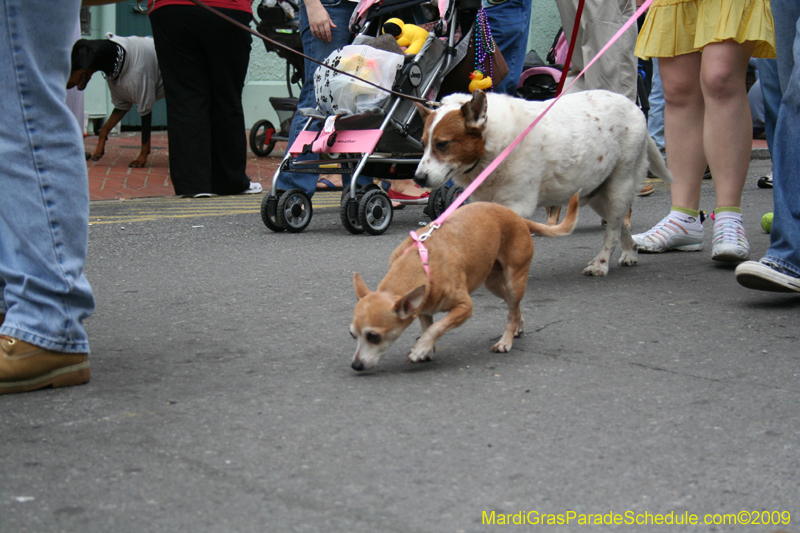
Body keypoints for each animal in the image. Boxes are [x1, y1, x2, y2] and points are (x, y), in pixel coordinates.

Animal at [346, 193, 580, 372]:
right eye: (352, 334)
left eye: (373, 337)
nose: (356, 365)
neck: (422, 263)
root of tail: (519, 218)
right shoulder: (423, 309)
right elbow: (428, 326)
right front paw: (426, 348)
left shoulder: (464, 307)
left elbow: (437, 327)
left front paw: (421, 348)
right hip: (494, 283)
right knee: (515, 308)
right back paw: (518, 327)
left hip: (514, 281)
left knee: (512, 311)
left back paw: (505, 341)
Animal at [416, 88, 672, 276]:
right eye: (423, 143)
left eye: (442, 144)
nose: (418, 178)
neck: (492, 145)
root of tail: (634, 106)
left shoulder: (516, 205)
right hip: (598, 194)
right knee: (618, 226)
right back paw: (630, 252)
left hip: (619, 186)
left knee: (613, 231)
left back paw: (600, 264)